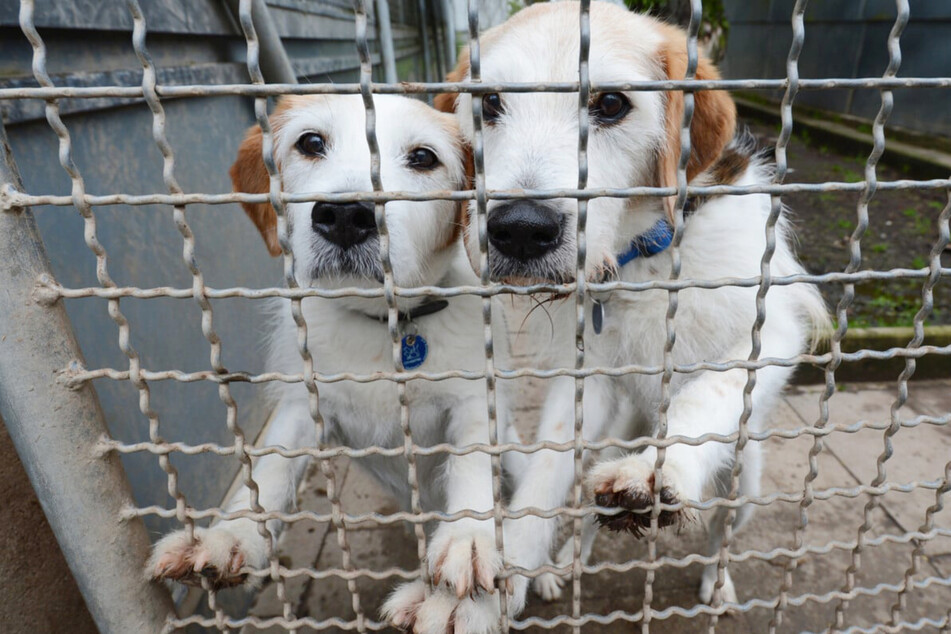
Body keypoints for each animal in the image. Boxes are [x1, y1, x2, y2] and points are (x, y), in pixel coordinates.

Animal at [384, 2, 828, 628]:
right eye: (488, 102)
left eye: (612, 103)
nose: (520, 229)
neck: (644, 257)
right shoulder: (584, 383)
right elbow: (542, 479)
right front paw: (482, 585)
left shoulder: (774, 330)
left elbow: (712, 389)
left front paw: (658, 470)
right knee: (588, 512)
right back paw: (566, 562)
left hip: (745, 483)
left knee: (722, 533)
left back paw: (714, 580)